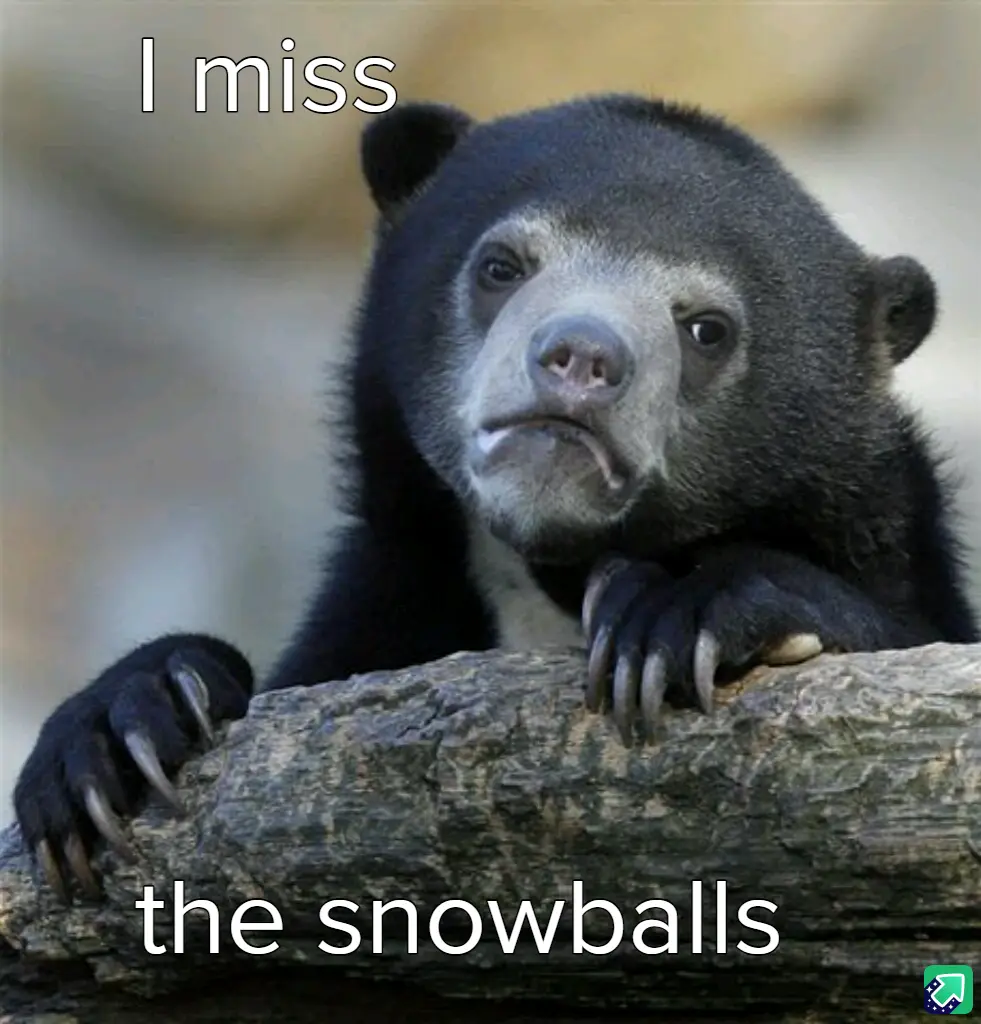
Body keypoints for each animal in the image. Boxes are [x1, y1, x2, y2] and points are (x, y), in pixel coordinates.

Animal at [12, 94, 979, 902]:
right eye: (501, 265)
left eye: (706, 328)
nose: (581, 358)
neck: (546, 573)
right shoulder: (397, 590)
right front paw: (118, 733)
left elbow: (900, 625)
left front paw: (671, 614)